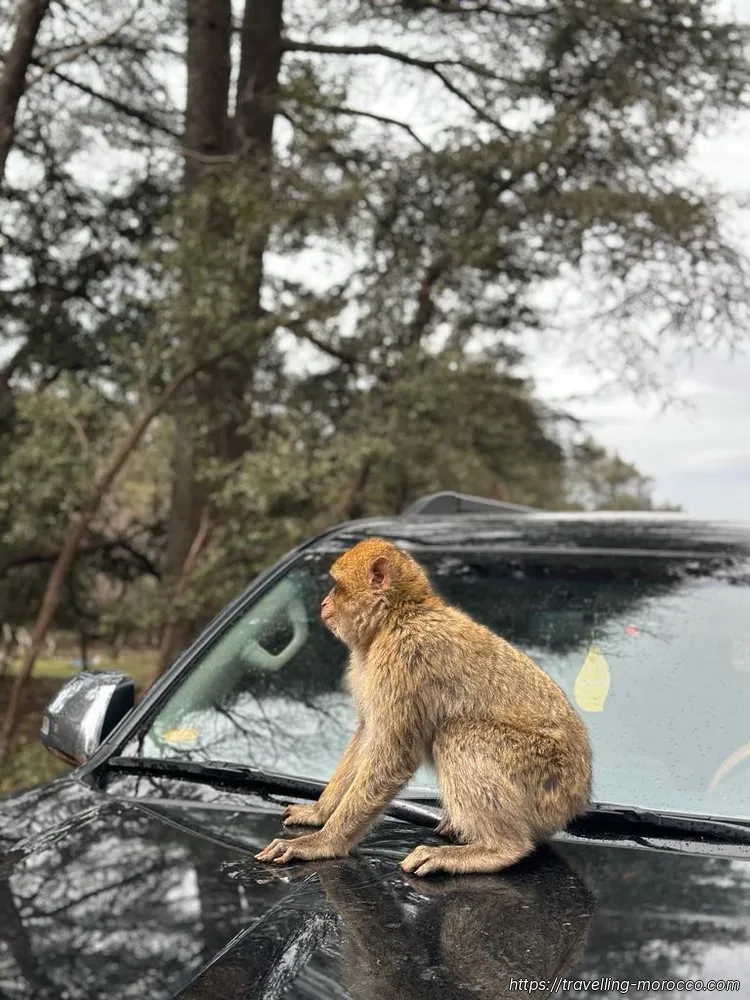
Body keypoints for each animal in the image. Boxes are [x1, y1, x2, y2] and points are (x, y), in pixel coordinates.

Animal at [256, 537, 592, 876]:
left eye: (336, 586)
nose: (324, 603)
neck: (398, 616)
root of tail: (576, 799)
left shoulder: (405, 657)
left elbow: (394, 753)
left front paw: (323, 842)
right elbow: (369, 733)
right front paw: (320, 812)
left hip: (546, 779)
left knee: (458, 736)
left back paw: (498, 849)